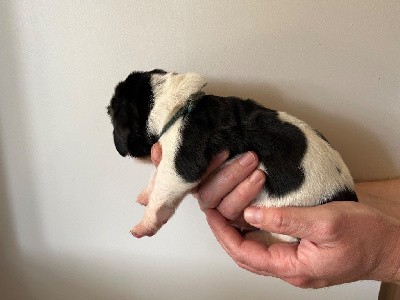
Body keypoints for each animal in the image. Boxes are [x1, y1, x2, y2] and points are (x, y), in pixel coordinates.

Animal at [106, 69, 356, 243]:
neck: (180, 109)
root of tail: (347, 195)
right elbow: (155, 177)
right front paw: (144, 195)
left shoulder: (181, 165)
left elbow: (161, 198)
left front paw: (143, 226)